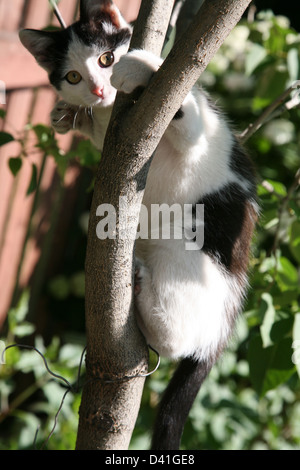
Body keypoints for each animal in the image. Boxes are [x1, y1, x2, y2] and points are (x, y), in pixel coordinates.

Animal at [18, 0, 258, 450]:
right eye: (73, 76)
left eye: (106, 59)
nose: (99, 90)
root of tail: (224, 321)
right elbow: (93, 129)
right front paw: (69, 116)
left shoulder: (197, 134)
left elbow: (187, 116)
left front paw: (141, 66)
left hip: (188, 252)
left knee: (179, 339)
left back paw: (143, 284)